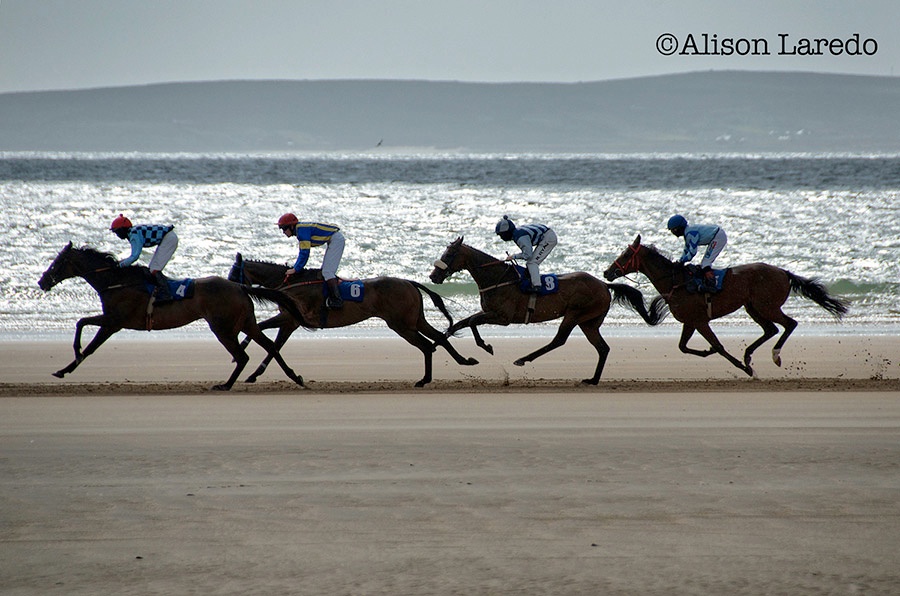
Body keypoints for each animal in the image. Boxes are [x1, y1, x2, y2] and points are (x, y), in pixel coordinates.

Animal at [37, 242, 306, 392]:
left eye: (57, 262)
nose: (42, 281)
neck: (117, 281)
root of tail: (239, 286)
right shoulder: (111, 319)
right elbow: (82, 323)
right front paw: (68, 363)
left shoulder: (114, 322)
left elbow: (88, 339)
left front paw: (67, 366)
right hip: (246, 323)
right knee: (270, 345)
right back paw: (295, 376)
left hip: (223, 327)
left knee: (242, 355)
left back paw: (226, 384)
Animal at [227, 253, 478, 386]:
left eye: (232, 273)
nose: (230, 289)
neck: (292, 283)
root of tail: (409, 282)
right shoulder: (289, 321)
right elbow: (272, 344)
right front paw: (253, 373)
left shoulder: (291, 319)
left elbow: (266, 336)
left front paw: (246, 358)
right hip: (414, 321)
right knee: (438, 339)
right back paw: (462, 361)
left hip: (401, 324)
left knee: (427, 345)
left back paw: (425, 379)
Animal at [426, 235, 664, 384]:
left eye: (449, 255)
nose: (433, 276)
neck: (497, 279)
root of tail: (604, 285)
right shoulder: (491, 313)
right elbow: (463, 322)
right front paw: (441, 341)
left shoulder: (502, 317)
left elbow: (471, 322)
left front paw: (485, 346)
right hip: (589, 322)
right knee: (602, 348)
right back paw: (593, 380)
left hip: (575, 314)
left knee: (559, 340)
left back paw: (523, 359)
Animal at [604, 235, 852, 374]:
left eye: (625, 255)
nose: (607, 272)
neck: (676, 282)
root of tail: (784, 272)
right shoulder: (690, 322)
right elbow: (683, 347)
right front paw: (711, 352)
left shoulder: (700, 321)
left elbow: (719, 346)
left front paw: (743, 368)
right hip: (753, 307)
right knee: (771, 329)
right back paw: (748, 355)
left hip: (767, 306)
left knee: (789, 324)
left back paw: (774, 355)